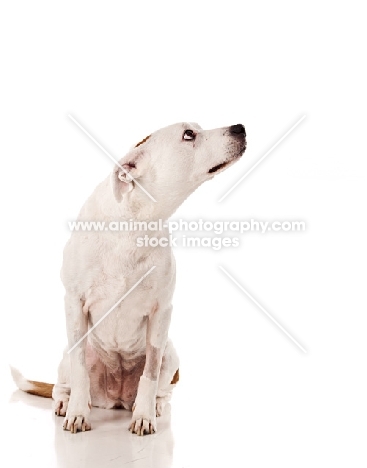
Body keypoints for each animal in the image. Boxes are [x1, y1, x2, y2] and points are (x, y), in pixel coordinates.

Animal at [11, 120, 247, 436]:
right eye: (189, 134)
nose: (240, 127)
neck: (136, 223)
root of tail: (115, 398)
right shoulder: (73, 302)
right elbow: (79, 371)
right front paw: (77, 414)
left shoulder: (162, 312)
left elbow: (150, 373)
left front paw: (145, 416)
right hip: (67, 354)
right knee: (66, 380)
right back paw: (65, 402)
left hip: (171, 354)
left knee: (162, 386)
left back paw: (154, 406)